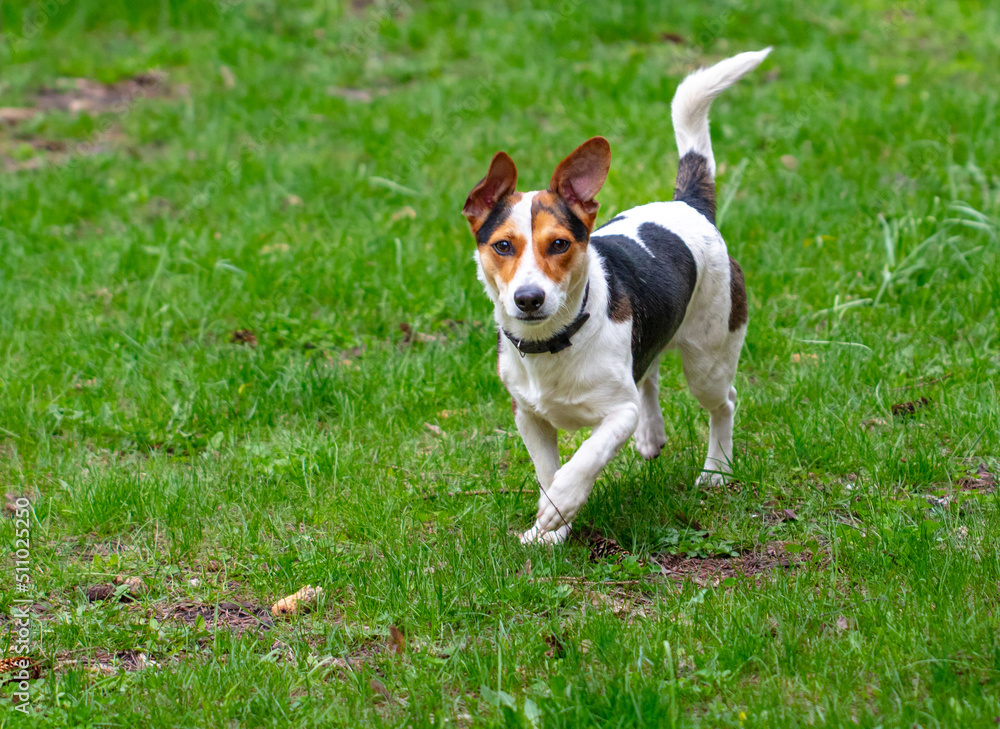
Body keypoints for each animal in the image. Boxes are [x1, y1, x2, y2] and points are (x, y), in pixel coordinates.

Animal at [462, 49, 772, 540]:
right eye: (503, 246)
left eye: (559, 244)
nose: (529, 299)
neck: (556, 341)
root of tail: (688, 204)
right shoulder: (528, 416)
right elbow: (547, 470)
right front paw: (549, 532)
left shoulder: (617, 414)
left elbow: (584, 459)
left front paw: (562, 503)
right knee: (649, 373)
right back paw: (652, 435)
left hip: (710, 357)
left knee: (723, 402)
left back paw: (717, 469)